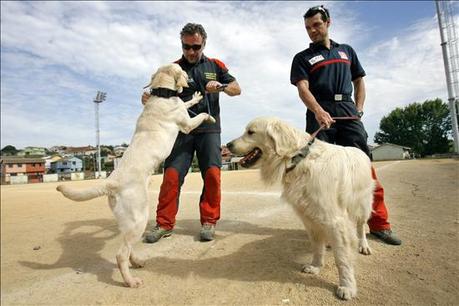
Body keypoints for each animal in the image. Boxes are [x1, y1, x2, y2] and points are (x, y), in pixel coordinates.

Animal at [57, 63, 216, 288]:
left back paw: (137, 263)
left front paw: (195, 97)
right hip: (140, 217)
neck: (162, 94)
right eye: (183, 71)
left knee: (127, 246)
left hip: (127, 221)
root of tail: (110, 182)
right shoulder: (185, 124)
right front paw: (209, 116)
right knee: (121, 254)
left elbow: (187, 103)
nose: (192, 80)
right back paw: (130, 281)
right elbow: (198, 116)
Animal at [228, 117, 376, 302]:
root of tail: (361, 151)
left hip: (362, 204)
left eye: (250, 132)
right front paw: (316, 267)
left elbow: (342, 258)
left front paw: (347, 286)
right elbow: (317, 247)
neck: (299, 159)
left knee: (361, 226)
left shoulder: (335, 220)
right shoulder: (309, 217)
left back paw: (364, 246)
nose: (227, 145)